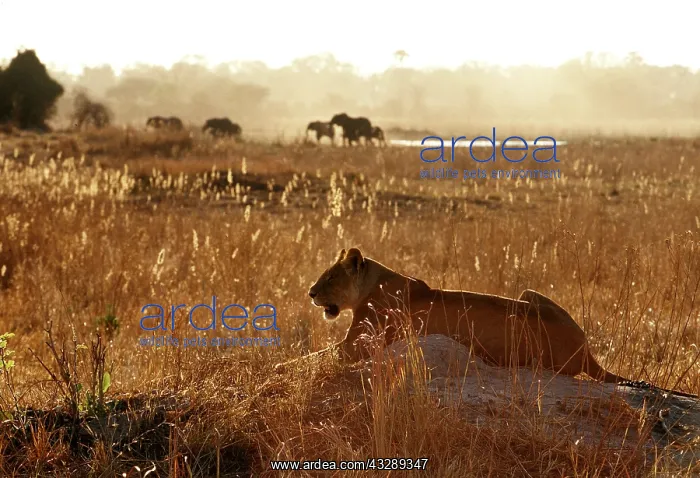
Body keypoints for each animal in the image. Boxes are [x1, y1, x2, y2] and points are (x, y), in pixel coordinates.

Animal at [276, 247, 697, 397]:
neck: (375, 279)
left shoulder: (359, 344)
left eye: (330, 277)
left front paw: (280, 365)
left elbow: (313, 357)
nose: (310, 293)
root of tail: (587, 353)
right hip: (531, 294)